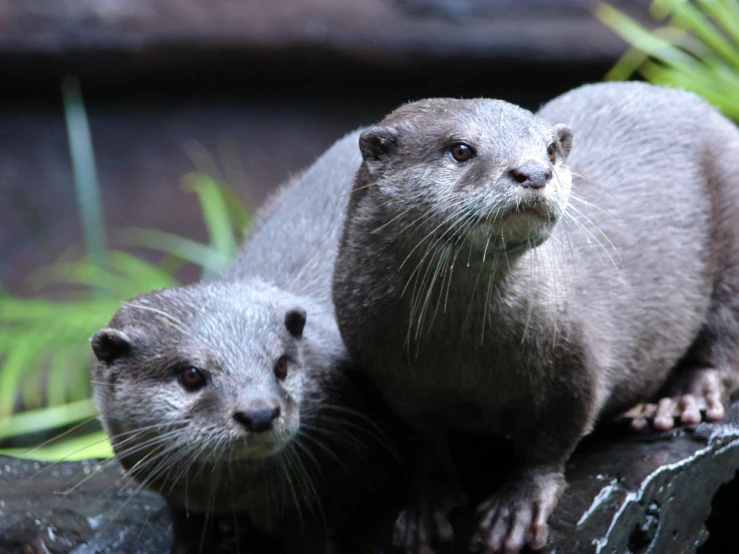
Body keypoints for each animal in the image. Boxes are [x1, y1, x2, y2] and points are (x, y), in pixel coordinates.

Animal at [332, 83, 739, 552]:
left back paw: (684, 399)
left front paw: (517, 509)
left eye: (549, 151)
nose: (532, 172)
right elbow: (423, 444)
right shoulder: (390, 382)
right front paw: (423, 509)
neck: (461, 355)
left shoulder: (575, 364)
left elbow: (552, 440)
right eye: (460, 150)